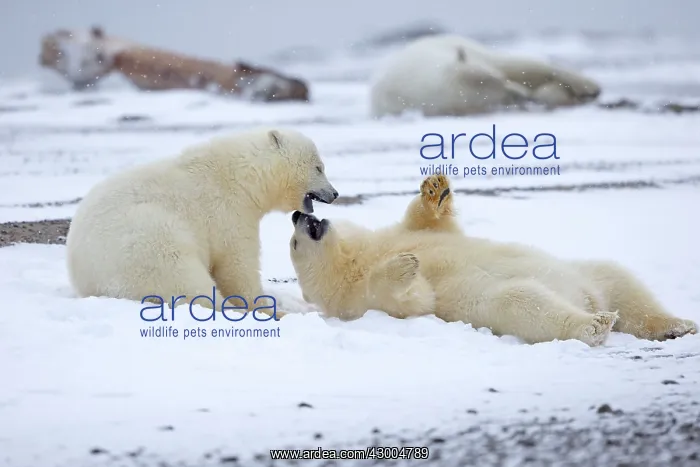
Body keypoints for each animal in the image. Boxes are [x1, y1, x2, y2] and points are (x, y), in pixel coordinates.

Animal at [66, 128, 338, 318]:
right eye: (319, 167)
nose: (334, 193)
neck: (243, 177)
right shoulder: (228, 212)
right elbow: (237, 264)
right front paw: (265, 307)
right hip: (148, 243)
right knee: (185, 280)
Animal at [288, 175, 697, 346]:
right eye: (293, 244)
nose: (296, 215)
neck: (357, 257)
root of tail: (587, 298)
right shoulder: (358, 300)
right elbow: (415, 299)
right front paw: (405, 265)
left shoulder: (397, 233)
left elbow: (431, 225)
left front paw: (434, 189)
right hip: (500, 302)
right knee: (524, 302)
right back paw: (593, 324)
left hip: (589, 273)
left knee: (622, 282)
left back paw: (676, 325)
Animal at [370, 34, 601, 118]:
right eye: (505, 93)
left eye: (500, 81)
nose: (525, 96)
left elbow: (519, 69)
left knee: (520, 64)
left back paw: (587, 87)